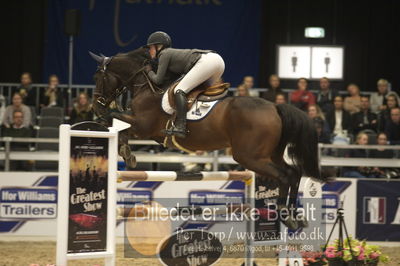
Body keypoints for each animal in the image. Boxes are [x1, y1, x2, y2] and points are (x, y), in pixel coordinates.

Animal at [88, 47, 324, 229]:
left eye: (98, 77)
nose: (96, 105)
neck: (146, 85)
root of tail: (275, 107)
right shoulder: (149, 132)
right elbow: (121, 127)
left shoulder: (143, 126)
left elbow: (121, 127)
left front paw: (127, 154)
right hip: (270, 155)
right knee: (294, 172)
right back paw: (295, 217)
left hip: (250, 157)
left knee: (285, 175)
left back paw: (286, 214)